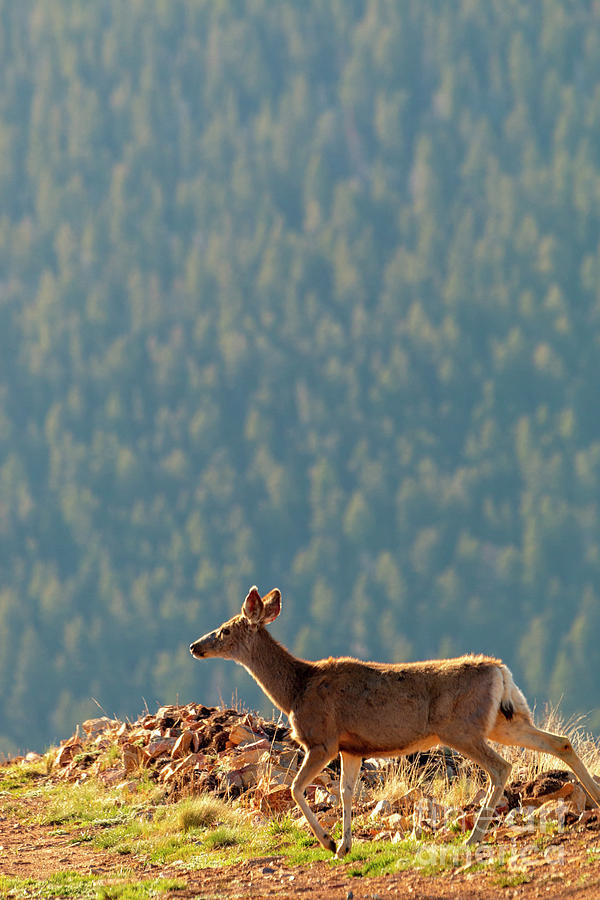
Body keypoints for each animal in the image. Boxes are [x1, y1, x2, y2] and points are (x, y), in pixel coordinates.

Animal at [190, 588, 600, 856]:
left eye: (224, 629)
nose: (195, 646)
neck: (295, 689)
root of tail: (500, 670)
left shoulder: (321, 739)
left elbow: (294, 788)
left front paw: (327, 842)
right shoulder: (352, 747)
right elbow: (347, 792)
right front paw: (344, 845)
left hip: (460, 727)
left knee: (501, 767)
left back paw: (473, 838)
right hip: (503, 720)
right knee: (559, 741)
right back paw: (595, 798)